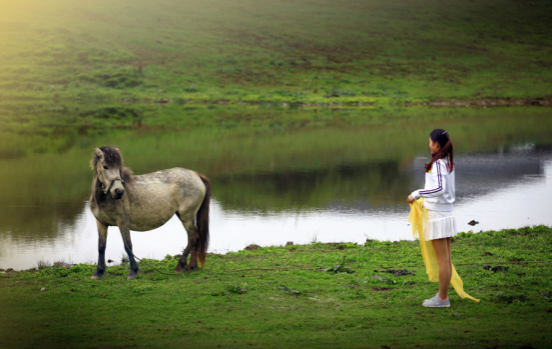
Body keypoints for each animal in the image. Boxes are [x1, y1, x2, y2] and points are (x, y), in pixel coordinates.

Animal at [89, 145, 210, 278]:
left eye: (119, 167)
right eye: (105, 166)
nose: (119, 191)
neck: (104, 199)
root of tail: (196, 175)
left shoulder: (123, 223)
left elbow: (128, 246)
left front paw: (133, 272)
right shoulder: (101, 223)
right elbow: (101, 247)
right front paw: (98, 273)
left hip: (186, 216)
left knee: (193, 238)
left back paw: (181, 266)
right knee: (196, 238)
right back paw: (192, 266)